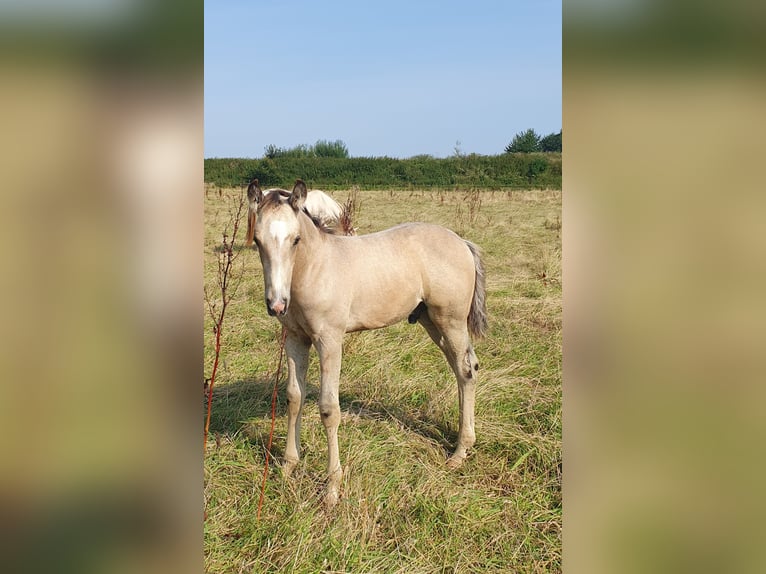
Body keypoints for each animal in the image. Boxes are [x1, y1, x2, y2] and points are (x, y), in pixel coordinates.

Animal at [249, 179, 488, 508]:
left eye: (296, 239)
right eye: (257, 241)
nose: (276, 305)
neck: (314, 269)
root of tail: (461, 241)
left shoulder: (329, 341)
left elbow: (328, 409)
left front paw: (332, 488)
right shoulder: (296, 339)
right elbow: (293, 397)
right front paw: (287, 467)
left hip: (450, 320)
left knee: (466, 370)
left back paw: (459, 453)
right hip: (431, 321)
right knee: (461, 368)